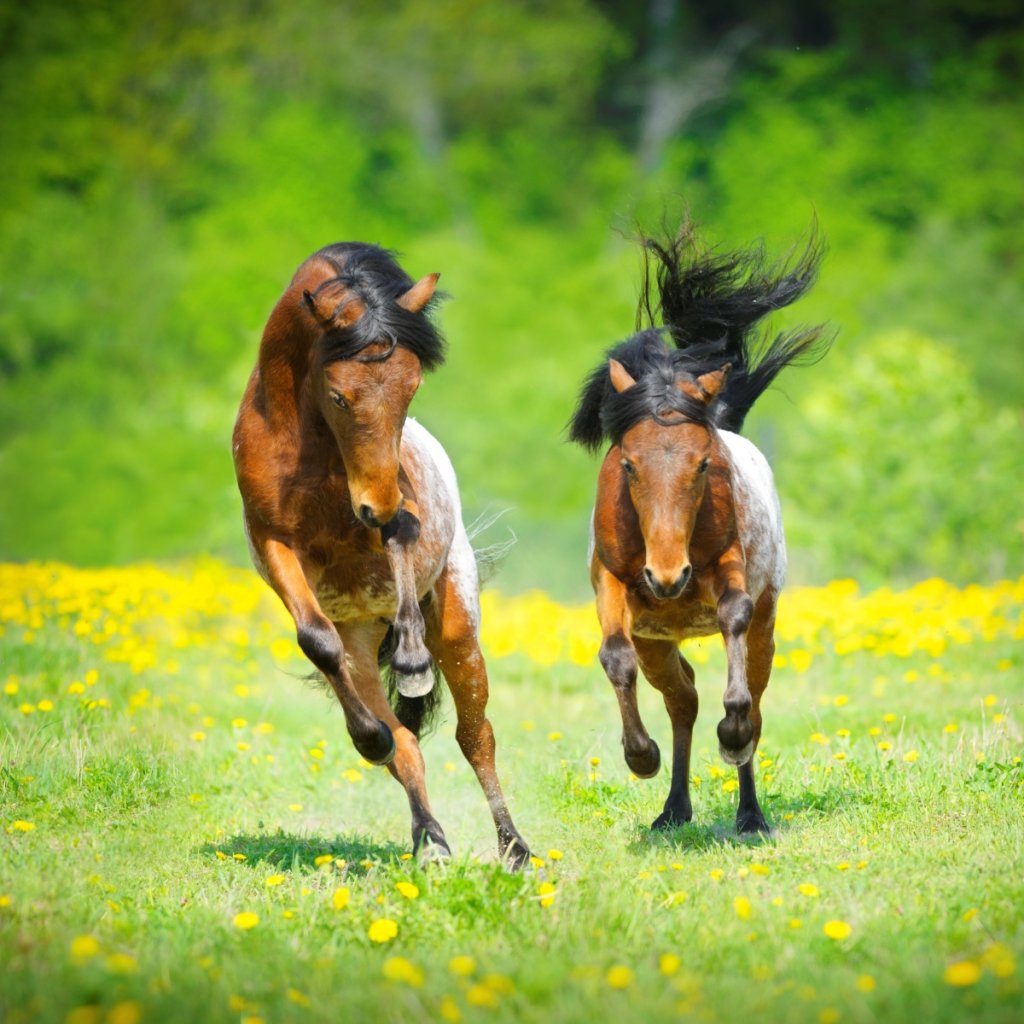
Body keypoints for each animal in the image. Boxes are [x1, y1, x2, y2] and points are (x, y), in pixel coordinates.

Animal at [233, 242, 530, 866]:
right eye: (339, 395)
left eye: (411, 387)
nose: (377, 503)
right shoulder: (276, 545)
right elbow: (315, 639)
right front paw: (370, 738)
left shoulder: (398, 508)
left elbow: (400, 542)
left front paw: (414, 662)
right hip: (361, 646)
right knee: (406, 742)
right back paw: (430, 838)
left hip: (458, 629)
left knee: (476, 736)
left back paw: (513, 846)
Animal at [569, 222, 830, 834]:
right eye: (628, 464)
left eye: (704, 463)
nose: (668, 576)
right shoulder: (612, 586)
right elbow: (613, 656)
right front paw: (641, 757)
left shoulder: (730, 570)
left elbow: (734, 623)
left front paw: (730, 736)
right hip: (656, 641)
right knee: (682, 699)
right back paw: (673, 808)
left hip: (766, 623)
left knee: (754, 695)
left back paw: (750, 811)